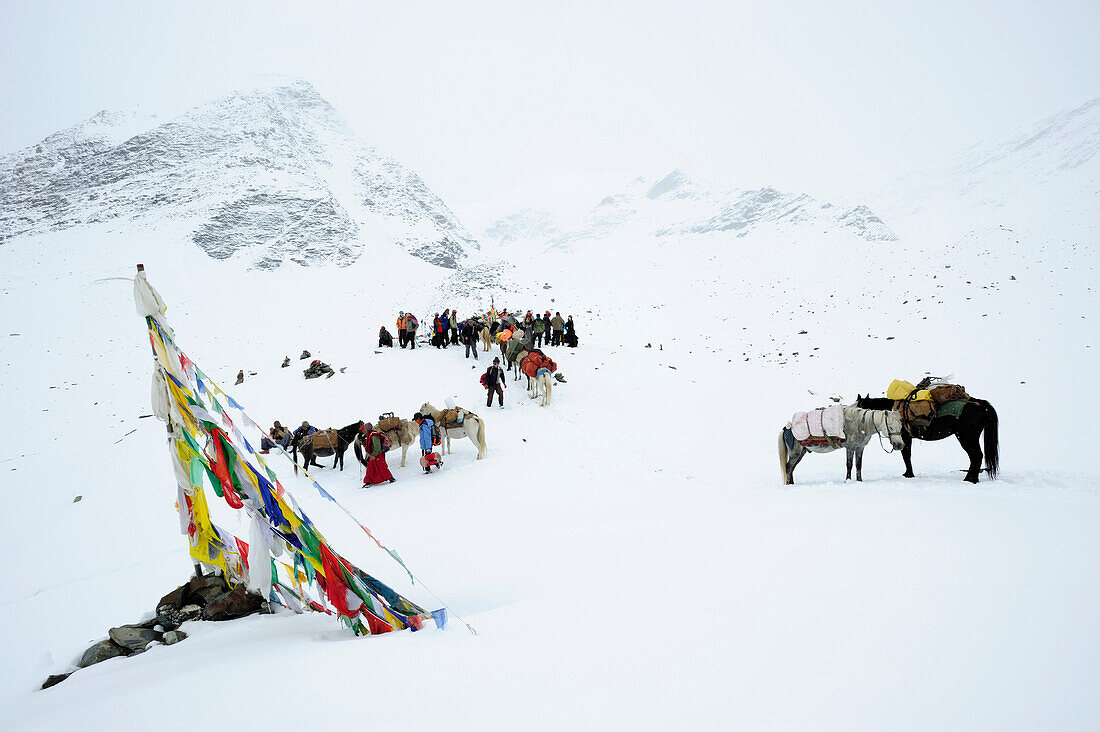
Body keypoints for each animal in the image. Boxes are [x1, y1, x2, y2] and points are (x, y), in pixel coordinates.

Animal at [774, 405, 902, 484]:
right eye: (890, 427)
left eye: (900, 427)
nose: (900, 445)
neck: (861, 425)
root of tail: (786, 428)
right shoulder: (850, 447)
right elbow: (849, 464)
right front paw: (847, 480)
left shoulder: (860, 448)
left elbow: (858, 465)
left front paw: (859, 481)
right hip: (795, 453)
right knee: (788, 467)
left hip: (801, 452)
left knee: (792, 468)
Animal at [853, 396, 1003, 482]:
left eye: (859, 408)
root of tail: (981, 405)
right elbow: (907, 455)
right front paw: (909, 474)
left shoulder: (905, 437)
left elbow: (906, 455)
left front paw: (909, 475)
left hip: (967, 438)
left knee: (976, 456)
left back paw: (970, 480)